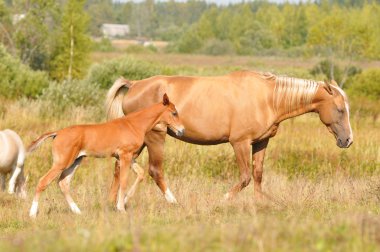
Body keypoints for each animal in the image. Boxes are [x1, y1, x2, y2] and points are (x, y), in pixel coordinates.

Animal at [27, 93, 184, 218]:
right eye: (174, 113)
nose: (182, 130)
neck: (134, 124)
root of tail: (57, 133)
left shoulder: (129, 157)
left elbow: (140, 174)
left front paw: (124, 201)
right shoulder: (125, 155)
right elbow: (124, 181)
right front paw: (121, 208)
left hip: (76, 161)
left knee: (63, 183)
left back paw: (77, 211)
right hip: (62, 162)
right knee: (43, 181)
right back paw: (32, 213)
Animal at [105, 70, 352, 203]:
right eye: (340, 109)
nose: (348, 140)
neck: (268, 98)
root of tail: (134, 85)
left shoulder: (261, 142)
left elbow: (258, 175)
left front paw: (260, 205)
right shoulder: (239, 143)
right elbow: (245, 177)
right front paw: (222, 200)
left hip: (139, 140)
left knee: (120, 167)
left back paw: (114, 202)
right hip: (155, 137)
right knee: (155, 171)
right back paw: (173, 202)